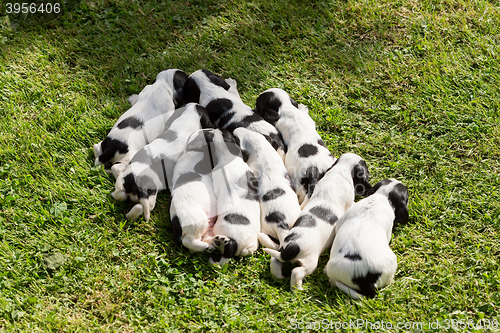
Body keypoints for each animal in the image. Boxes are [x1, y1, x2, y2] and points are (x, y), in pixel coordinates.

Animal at [262, 152, 372, 290]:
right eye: (366, 167)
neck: (339, 171)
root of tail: (292, 245)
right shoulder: (349, 201)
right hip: (310, 262)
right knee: (297, 272)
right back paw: (298, 289)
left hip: (281, 252)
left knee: (275, 261)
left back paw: (279, 277)